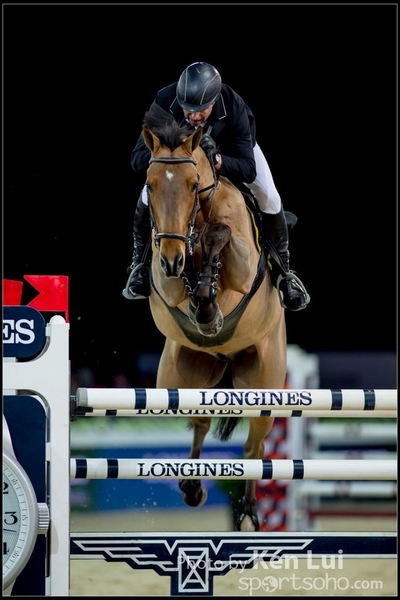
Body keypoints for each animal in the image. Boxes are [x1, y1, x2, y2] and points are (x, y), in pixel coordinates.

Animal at [136, 103, 287, 531]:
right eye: (150, 184)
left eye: (192, 185)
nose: (173, 259)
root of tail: (226, 357)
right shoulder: (164, 277)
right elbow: (182, 282)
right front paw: (200, 301)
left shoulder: (241, 264)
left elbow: (220, 235)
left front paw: (209, 304)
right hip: (182, 377)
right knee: (200, 421)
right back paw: (191, 486)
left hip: (264, 383)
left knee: (255, 446)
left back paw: (250, 515)